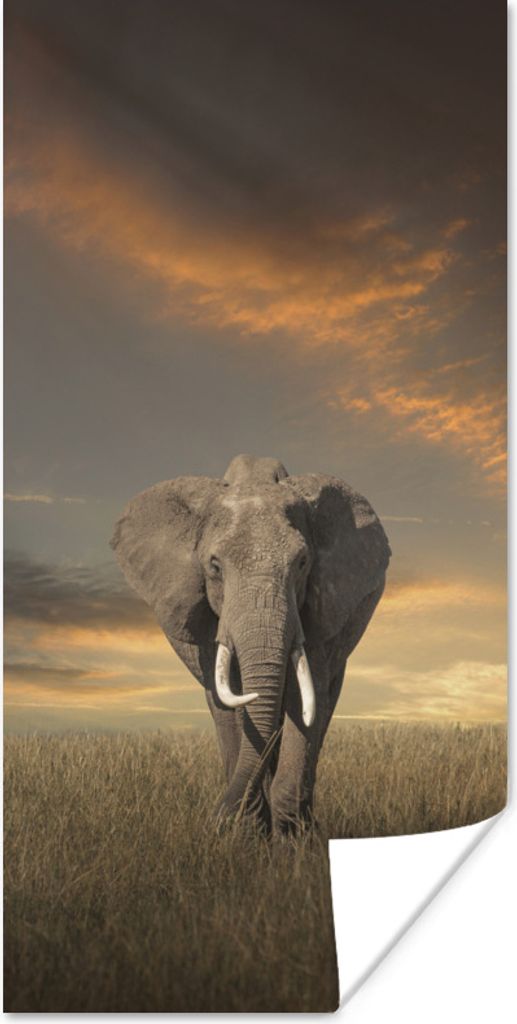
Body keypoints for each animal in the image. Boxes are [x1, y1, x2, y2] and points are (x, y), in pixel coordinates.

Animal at [111, 454, 391, 835]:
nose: (216, 820)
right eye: (214, 566)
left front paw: (293, 836)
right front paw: (247, 831)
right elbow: (231, 698)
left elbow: (305, 696)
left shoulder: (321, 608)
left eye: (302, 563)